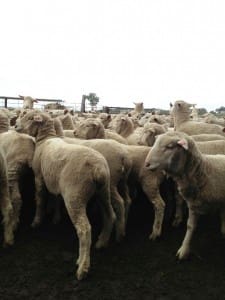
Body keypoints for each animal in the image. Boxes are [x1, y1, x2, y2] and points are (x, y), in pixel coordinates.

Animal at [14, 110, 115, 282]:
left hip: (75, 195)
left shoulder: (39, 177)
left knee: (84, 230)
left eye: (29, 118)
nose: (15, 126)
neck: (45, 139)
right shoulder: (54, 181)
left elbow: (40, 200)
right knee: (110, 215)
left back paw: (82, 267)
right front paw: (56, 217)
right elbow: (55, 198)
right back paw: (102, 242)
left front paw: (37, 221)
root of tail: (97, 169)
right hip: (103, 191)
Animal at [144, 131, 225, 260]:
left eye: (170, 147)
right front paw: (184, 248)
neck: (205, 171)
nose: (146, 164)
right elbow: (190, 226)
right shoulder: (193, 203)